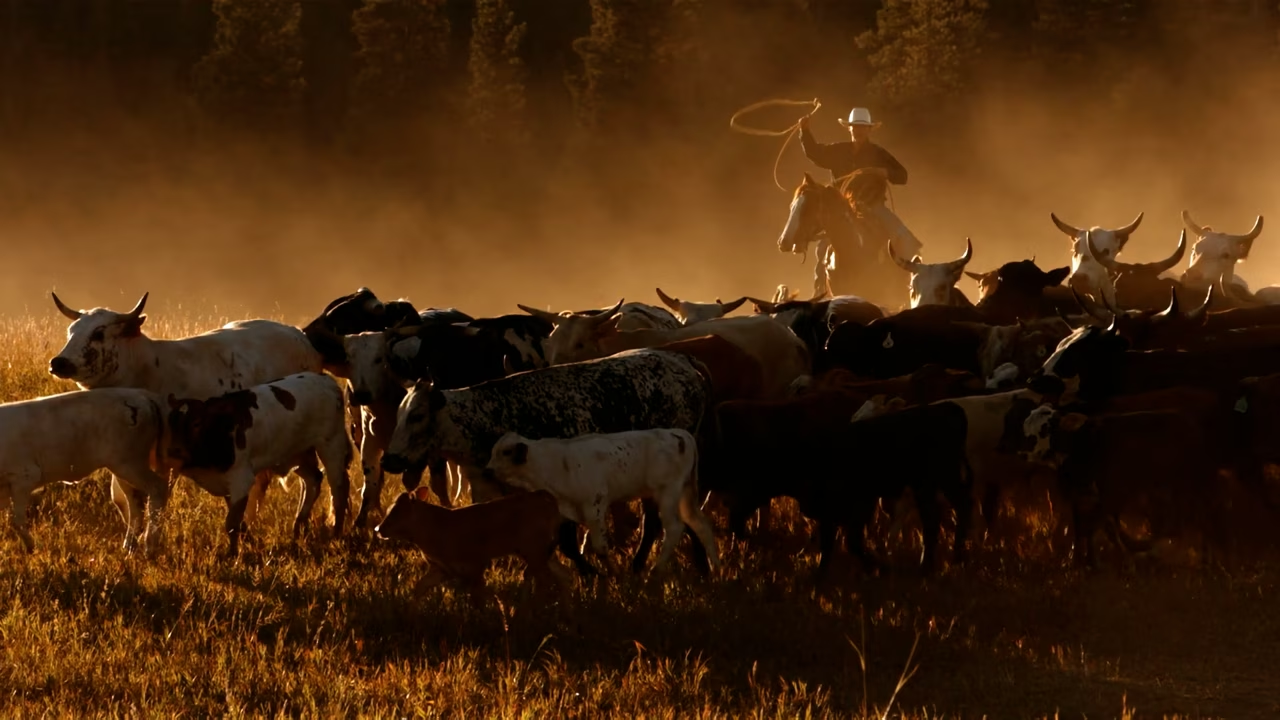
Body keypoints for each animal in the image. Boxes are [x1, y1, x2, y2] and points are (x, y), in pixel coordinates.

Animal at [0, 388, 169, 553]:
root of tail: (142, 396)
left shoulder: (24, 477)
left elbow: (16, 521)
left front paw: (32, 547)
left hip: (129, 464)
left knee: (157, 488)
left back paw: (150, 545)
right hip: (124, 468)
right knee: (135, 503)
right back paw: (129, 547)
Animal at [49, 291, 326, 526]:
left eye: (98, 333)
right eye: (71, 331)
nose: (59, 362)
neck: (144, 368)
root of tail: (300, 336)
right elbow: (125, 498)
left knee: (312, 479)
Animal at [163, 372, 353, 556]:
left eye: (197, 423)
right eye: (171, 422)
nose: (174, 451)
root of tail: (327, 381)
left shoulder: (241, 479)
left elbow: (232, 523)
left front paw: (233, 554)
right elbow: (238, 521)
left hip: (331, 445)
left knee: (338, 489)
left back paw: (336, 534)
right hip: (298, 453)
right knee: (313, 479)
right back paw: (298, 524)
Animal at [374, 487, 571, 603]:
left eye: (397, 511)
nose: (378, 529)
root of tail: (543, 496)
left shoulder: (475, 563)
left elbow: (478, 597)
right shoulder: (441, 568)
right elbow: (420, 587)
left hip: (533, 550)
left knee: (544, 580)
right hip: (542, 552)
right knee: (563, 575)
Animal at [485, 429, 721, 575]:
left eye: (506, 452)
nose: (487, 470)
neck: (552, 463)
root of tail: (679, 434)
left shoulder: (594, 506)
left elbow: (600, 547)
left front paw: (615, 575)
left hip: (668, 493)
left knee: (675, 527)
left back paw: (657, 570)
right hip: (685, 493)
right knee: (700, 524)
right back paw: (715, 570)